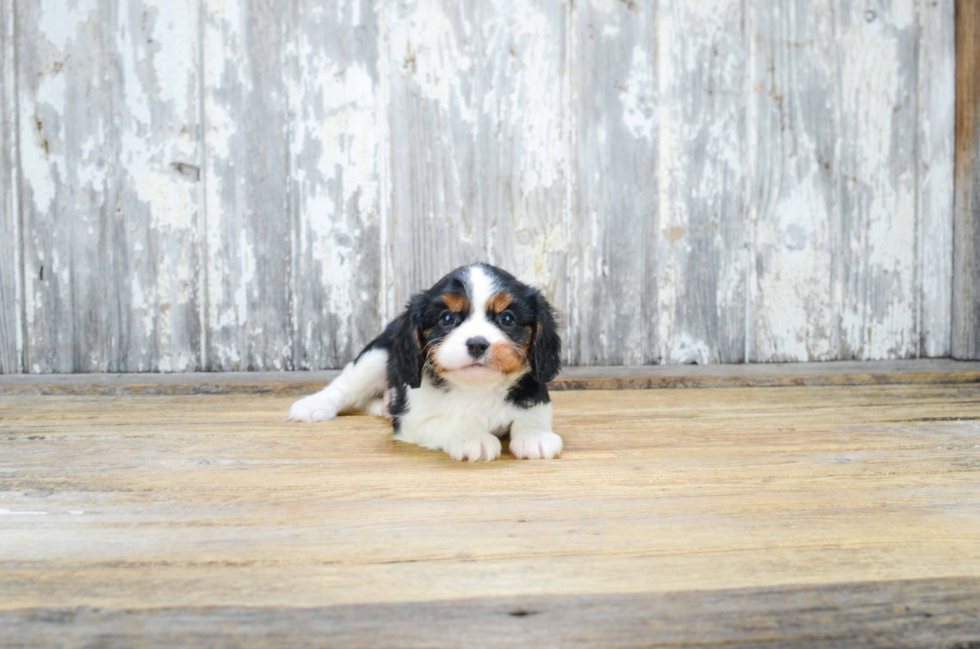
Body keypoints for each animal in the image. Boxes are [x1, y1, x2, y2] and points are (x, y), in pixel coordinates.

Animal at [288, 264, 564, 460]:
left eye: (507, 319)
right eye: (447, 318)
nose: (477, 343)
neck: (477, 388)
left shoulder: (537, 394)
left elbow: (532, 415)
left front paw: (535, 436)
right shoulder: (413, 420)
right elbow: (449, 423)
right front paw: (472, 437)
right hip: (377, 357)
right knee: (345, 387)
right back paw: (315, 405)